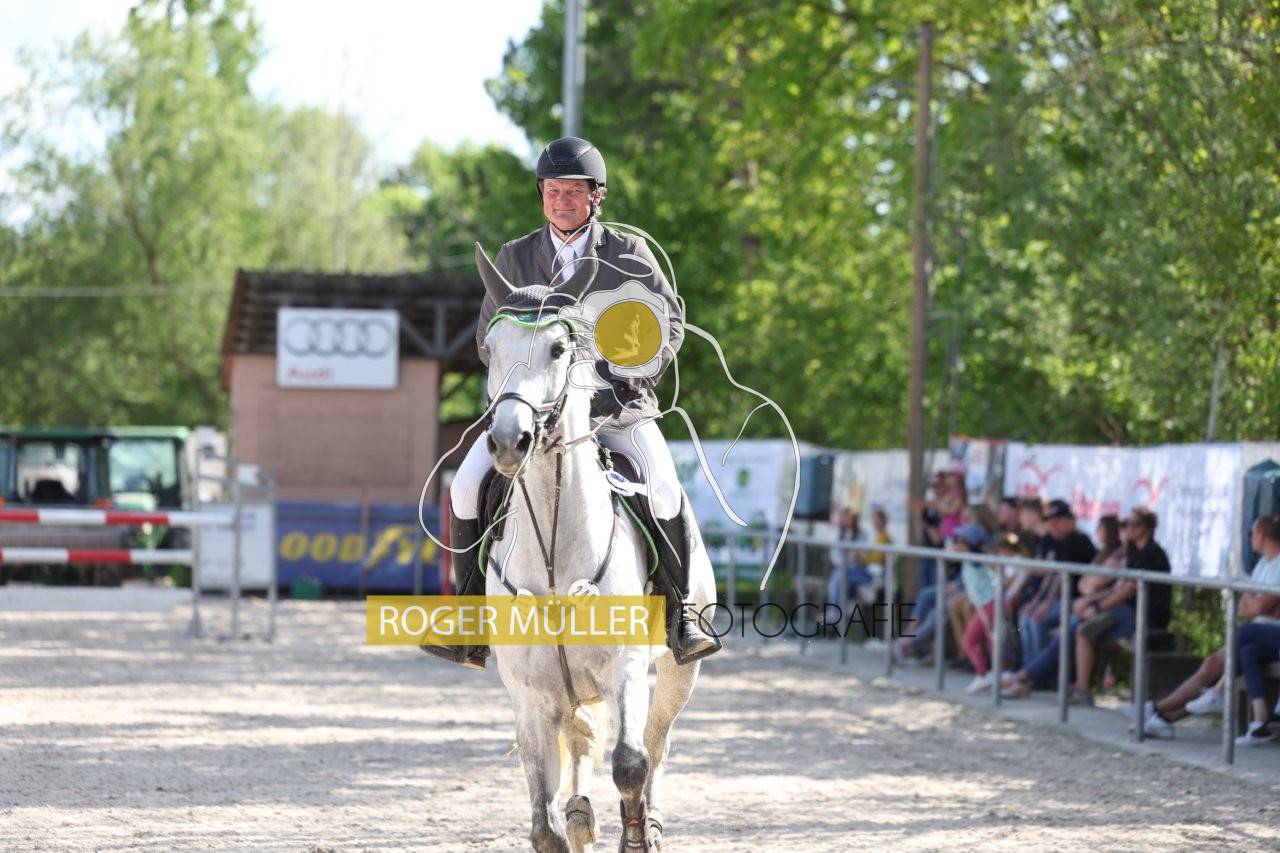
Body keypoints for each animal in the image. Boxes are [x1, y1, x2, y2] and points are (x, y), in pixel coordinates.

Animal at [477, 266, 715, 852]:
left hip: (678, 672)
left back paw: (650, 822)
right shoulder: (529, 695)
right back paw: (582, 812)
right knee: (582, 742)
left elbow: (631, 762)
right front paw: (569, 822)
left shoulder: (624, 670)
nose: (510, 440)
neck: (555, 549)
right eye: (490, 350)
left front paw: (635, 837)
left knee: (657, 742)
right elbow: (544, 825)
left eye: (559, 348)